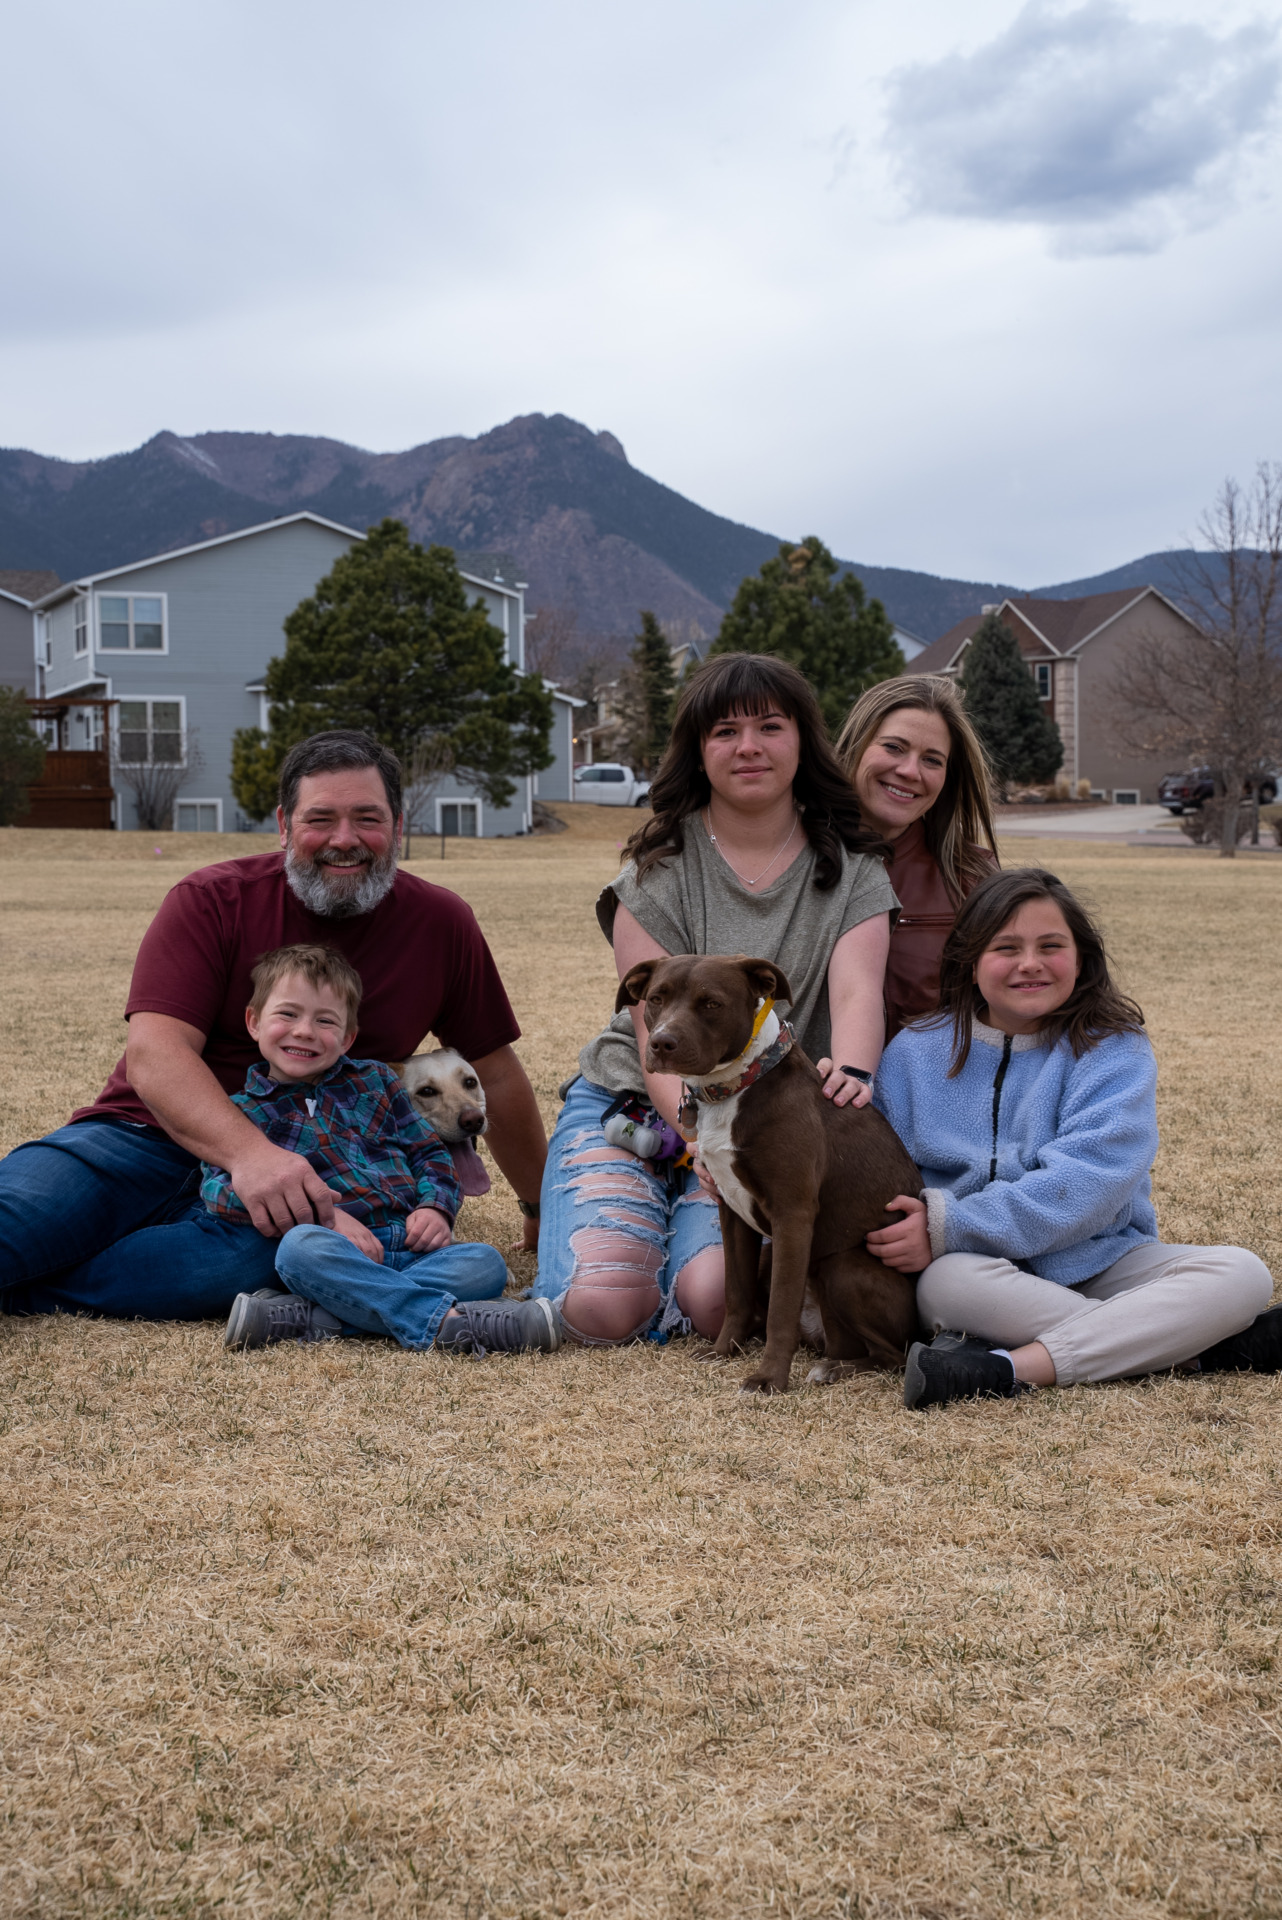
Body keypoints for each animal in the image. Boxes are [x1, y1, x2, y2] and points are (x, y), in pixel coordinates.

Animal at [617, 956, 921, 1397]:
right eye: (656, 999)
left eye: (712, 1004)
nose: (661, 1043)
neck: (737, 1087)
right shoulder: (731, 1211)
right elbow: (736, 1292)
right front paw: (724, 1350)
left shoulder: (792, 1214)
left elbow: (780, 1309)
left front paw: (768, 1378)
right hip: (773, 1258)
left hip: (841, 1265)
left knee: (894, 1355)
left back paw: (833, 1369)